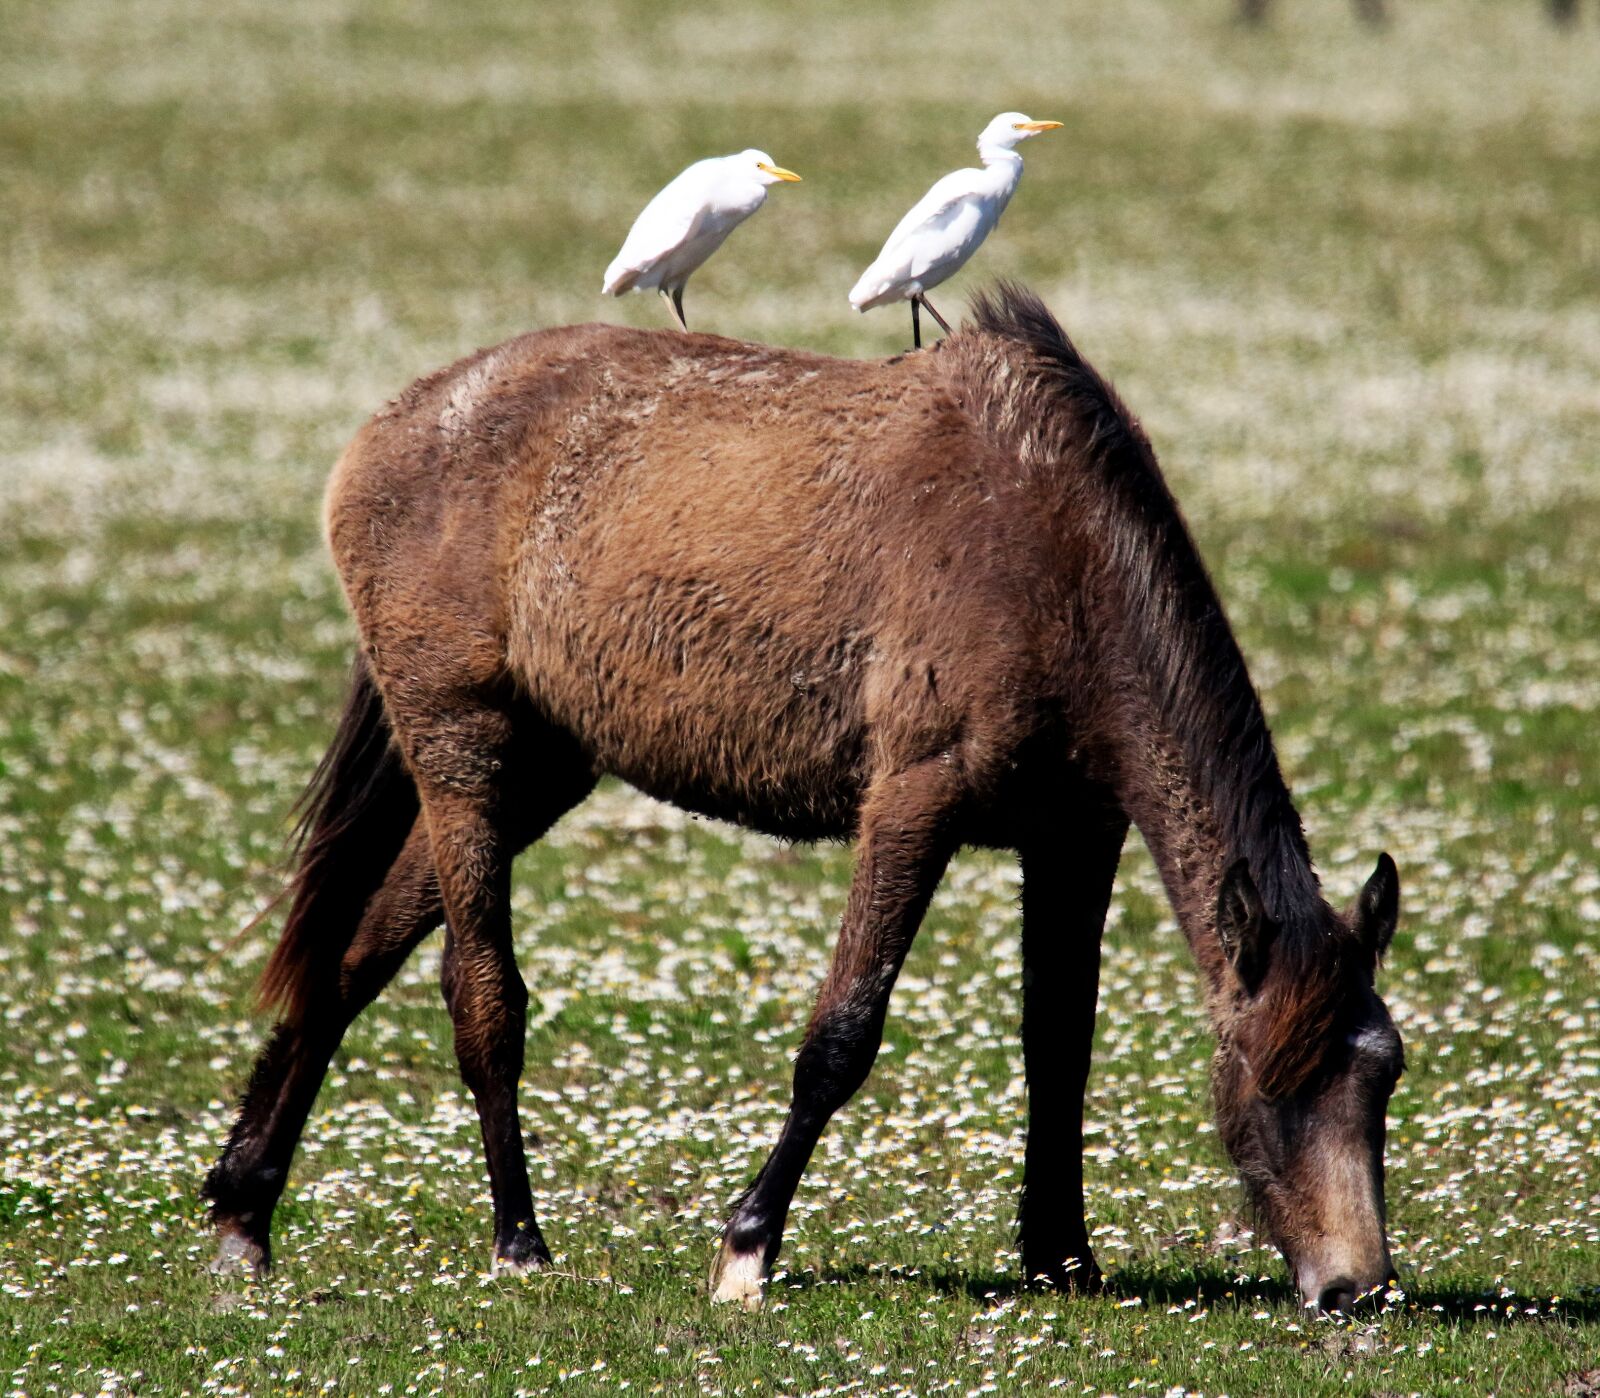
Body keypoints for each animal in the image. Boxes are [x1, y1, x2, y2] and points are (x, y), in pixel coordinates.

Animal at [204, 284, 1405, 1312]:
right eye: (1275, 1079)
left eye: (1382, 1076)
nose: (1356, 1287)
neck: (1056, 553)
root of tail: (390, 427)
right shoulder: (913, 805)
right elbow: (841, 1035)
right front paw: (746, 1245)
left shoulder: (1075, 838)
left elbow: (1058, 1042)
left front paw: (1060, 1255)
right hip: (462, 758)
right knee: (478, 992)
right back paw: (516, 1238)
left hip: (539, 768)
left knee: (352, 958)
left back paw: (245, 1204)